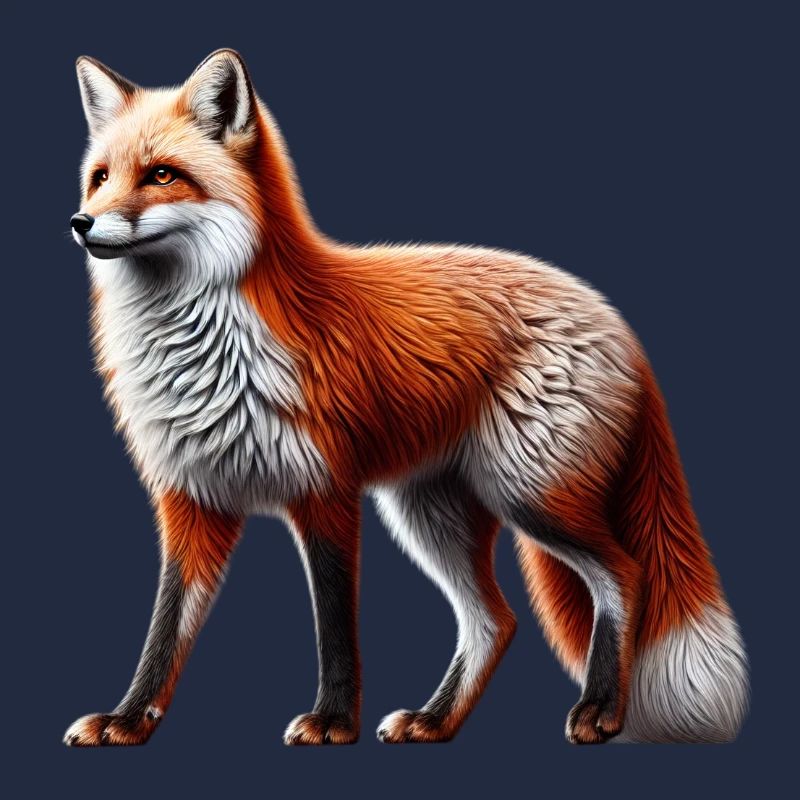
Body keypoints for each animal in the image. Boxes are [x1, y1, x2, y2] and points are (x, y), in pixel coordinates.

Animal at [65, 49, 748, 747]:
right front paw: (127, 719)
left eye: (161, 175)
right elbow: (164, 631)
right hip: (430, 513)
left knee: (624, 576)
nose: (80, 223)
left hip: (531, 497)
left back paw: (601, 710)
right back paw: (435, 720)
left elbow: (336, 625)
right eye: (100, 178)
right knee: (495, 620)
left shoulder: (326, 491)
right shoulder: (191, 500)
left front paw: (334, 722)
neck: (208, 352)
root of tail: (613, 317)